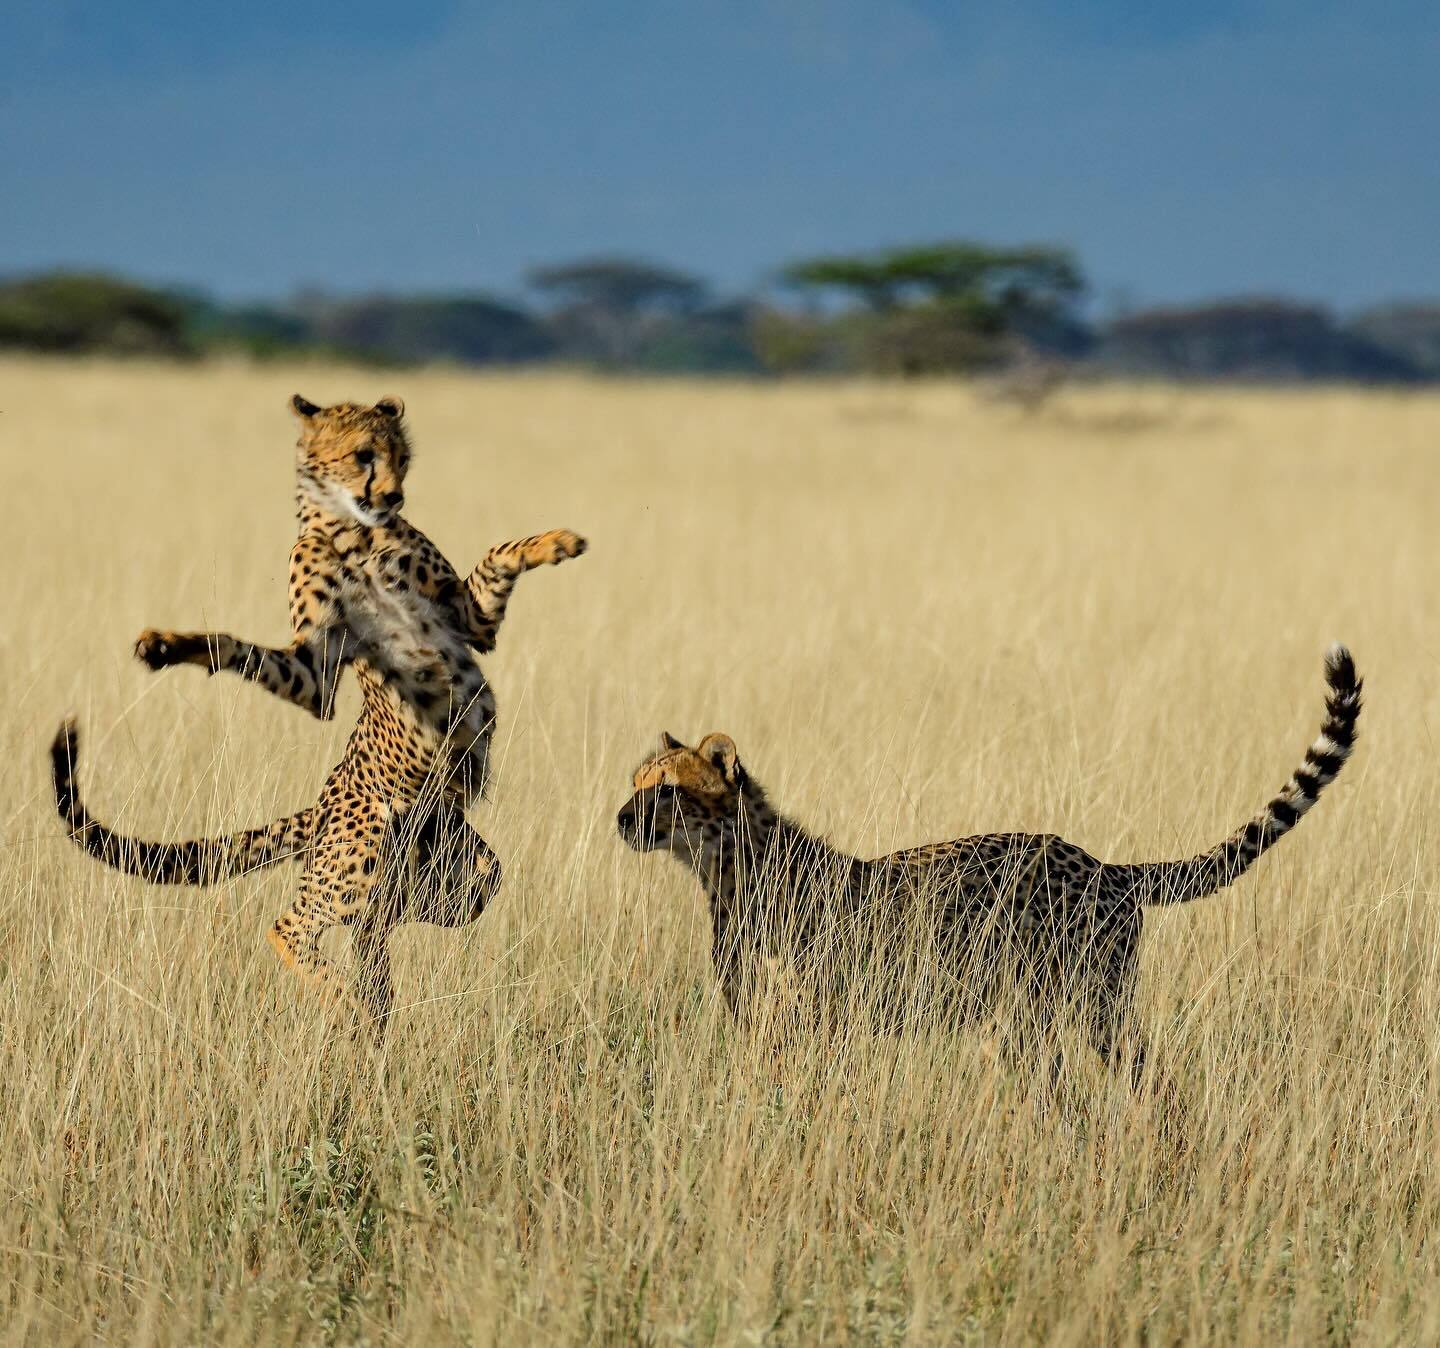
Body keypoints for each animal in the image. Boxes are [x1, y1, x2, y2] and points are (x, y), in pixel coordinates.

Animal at [52, 394, 584, 1036]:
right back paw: (344, 1003)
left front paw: (557, 541)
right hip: (364, 852)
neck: (354, 529)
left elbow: (498, 555)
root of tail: (323, 803)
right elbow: (248, 651)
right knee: (291, 926)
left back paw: (372, 1012)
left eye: (402, 458)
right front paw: (171, 645)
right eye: (362, 456)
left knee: (382, 927)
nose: (393, 496)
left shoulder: (470, 620)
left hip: (454, 868)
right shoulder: (317, 671)